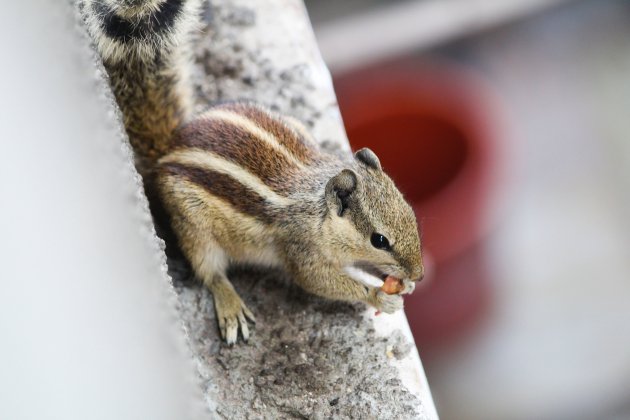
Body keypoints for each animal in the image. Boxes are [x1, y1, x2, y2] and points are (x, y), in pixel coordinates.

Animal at [79, 0, 424, 342]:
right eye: (379, 240)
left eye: (411, 214)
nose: (419, 275)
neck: (319, 212)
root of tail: (168, 150)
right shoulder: (301, 251)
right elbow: (318, 281)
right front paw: (378, 295)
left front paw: (401, 284)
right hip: (194, 225)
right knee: (209, 271)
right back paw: (230, 305)